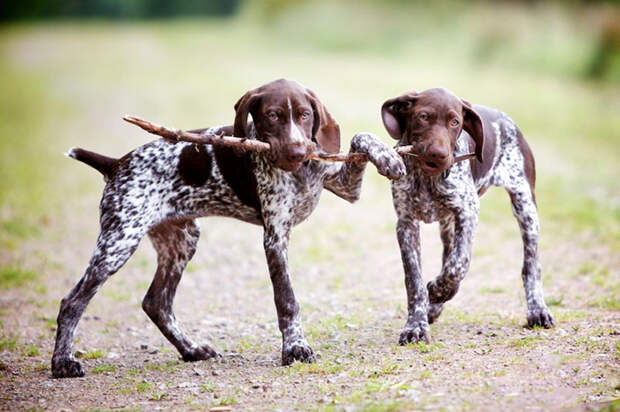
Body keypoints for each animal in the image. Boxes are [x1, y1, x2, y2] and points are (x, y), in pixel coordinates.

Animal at [50, 79, 404, 378]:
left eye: (305, 115)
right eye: (272, 116)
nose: (297, 151)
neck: (299, 172)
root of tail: (115, 164)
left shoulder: (345, 186)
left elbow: (360, 137)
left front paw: (388, 157)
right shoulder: (275, 236)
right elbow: (287, 299)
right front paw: (295, 348)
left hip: (181, 240)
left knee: (156, 303)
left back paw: (191, 349)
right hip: (119, 241)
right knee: (73, 302)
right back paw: (63, 362)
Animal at [386, 87, 556, 344]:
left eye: (455, 122)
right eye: (423, 117)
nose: (438, 155)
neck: (426, 178)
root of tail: (505, 118)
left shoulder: (468, 212)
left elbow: (459, 263)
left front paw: (438, 290)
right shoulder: (406, 224)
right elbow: (414, 280)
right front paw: (416, 324)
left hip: (526, 207)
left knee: (531, 266)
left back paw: (538, 310)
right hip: (448, 225)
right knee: (447, 255)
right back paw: (434, 307)